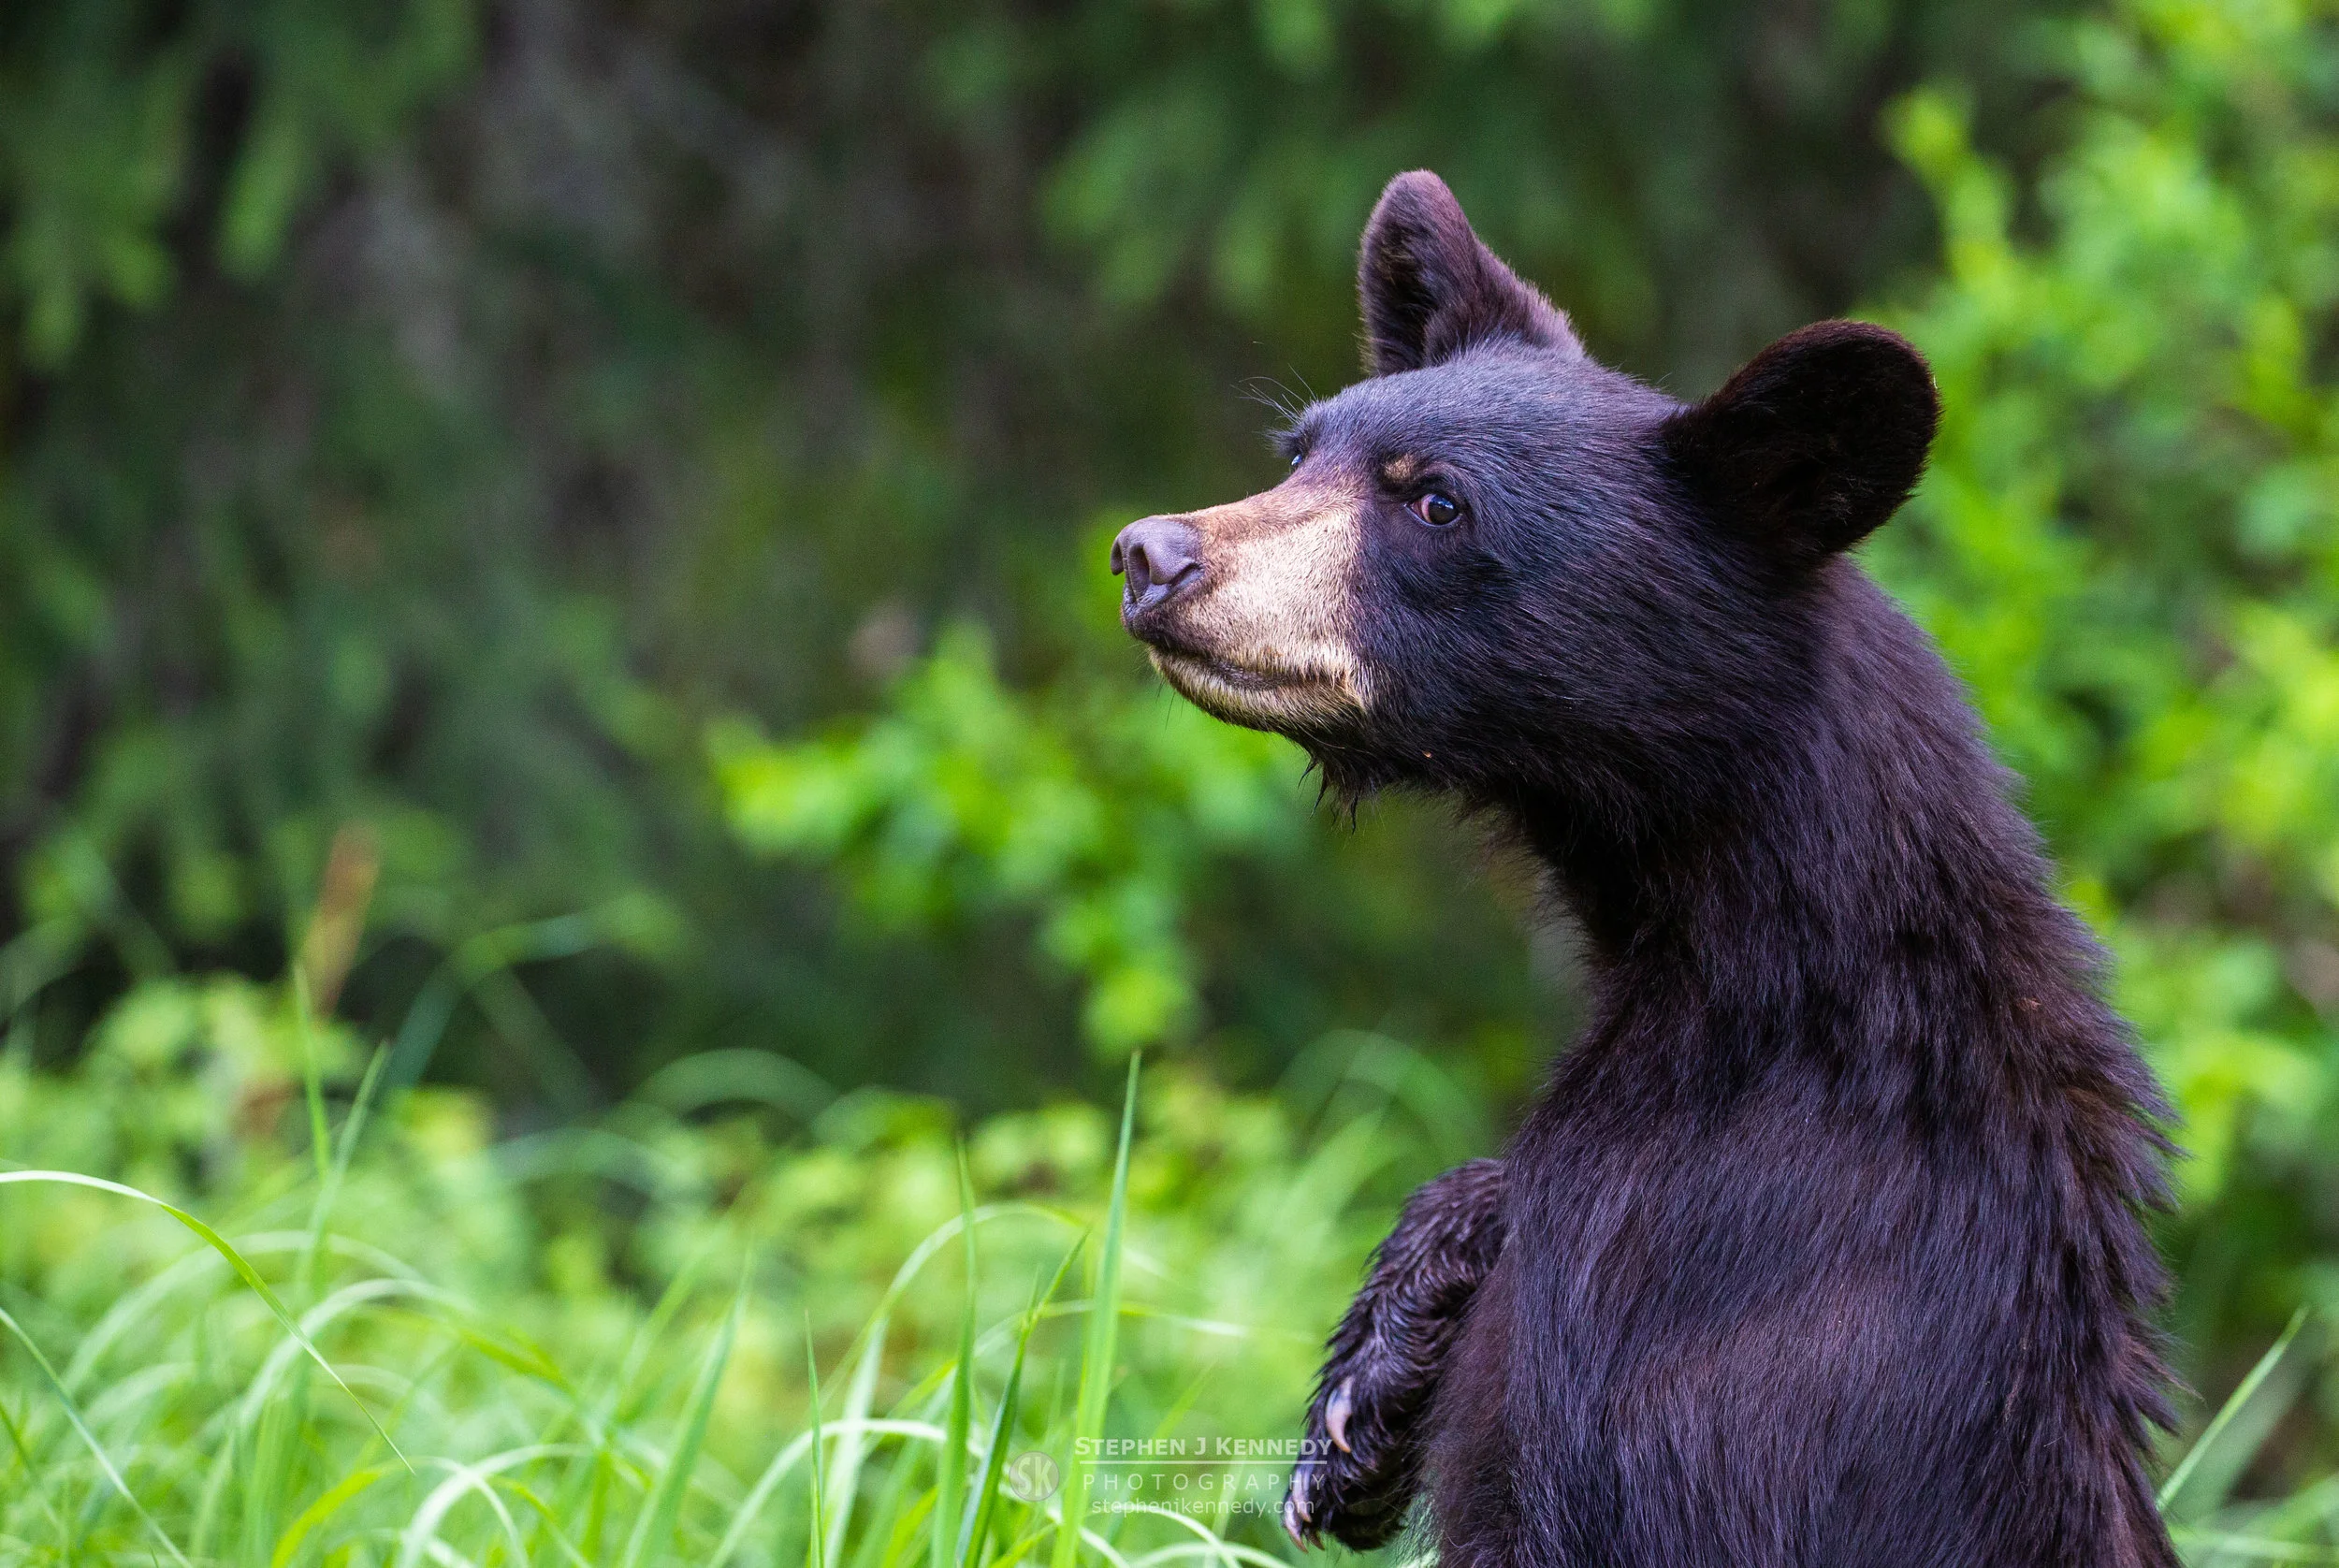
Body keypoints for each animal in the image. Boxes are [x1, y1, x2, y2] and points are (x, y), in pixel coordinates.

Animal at [1109, 171, 2178, 1567]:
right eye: (1301, 451)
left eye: (1437, 502)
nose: (1152, 553)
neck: (1776, 985)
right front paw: (1366, 1388)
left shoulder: (1665, 1320)